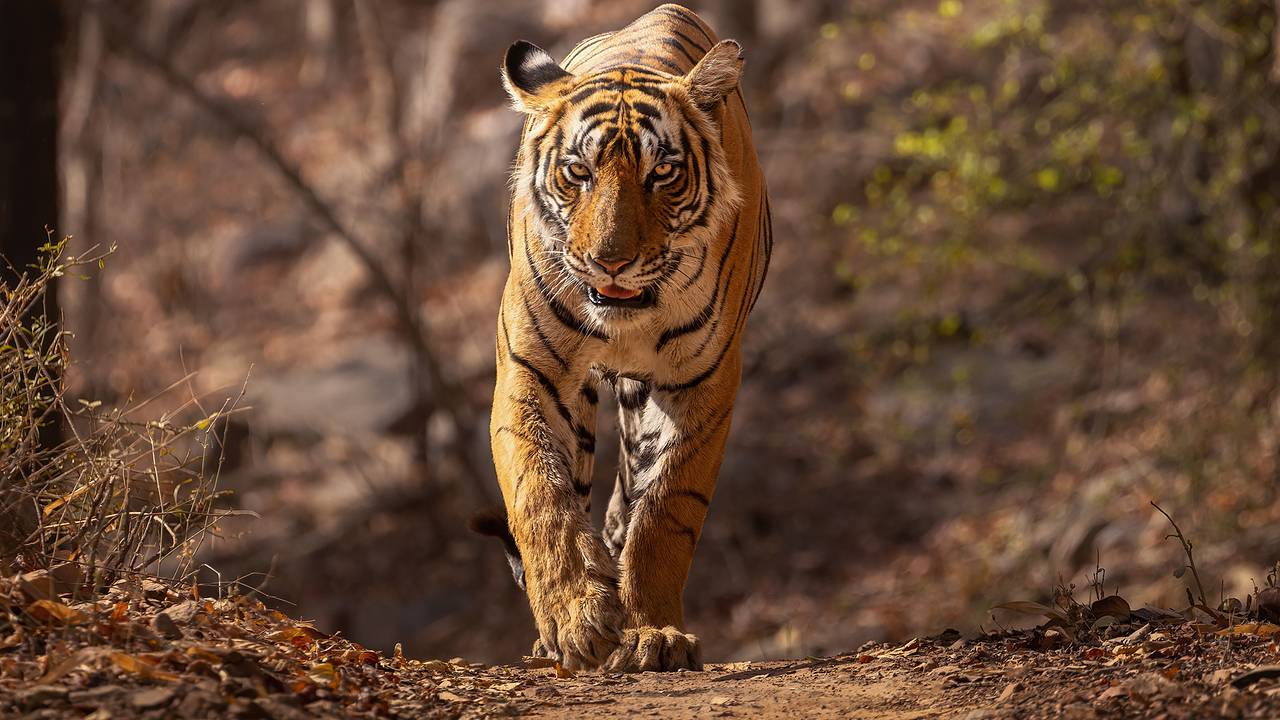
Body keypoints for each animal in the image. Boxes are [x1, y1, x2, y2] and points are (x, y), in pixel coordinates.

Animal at [484, 3, 771, 672]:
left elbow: (664, 512)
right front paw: (575, 620)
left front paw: (652, 633)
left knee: (625, 507)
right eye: (578, 173)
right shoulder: (531, 371)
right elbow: (540, 493)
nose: (609, 262)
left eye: (661, 172)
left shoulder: (704, 383)